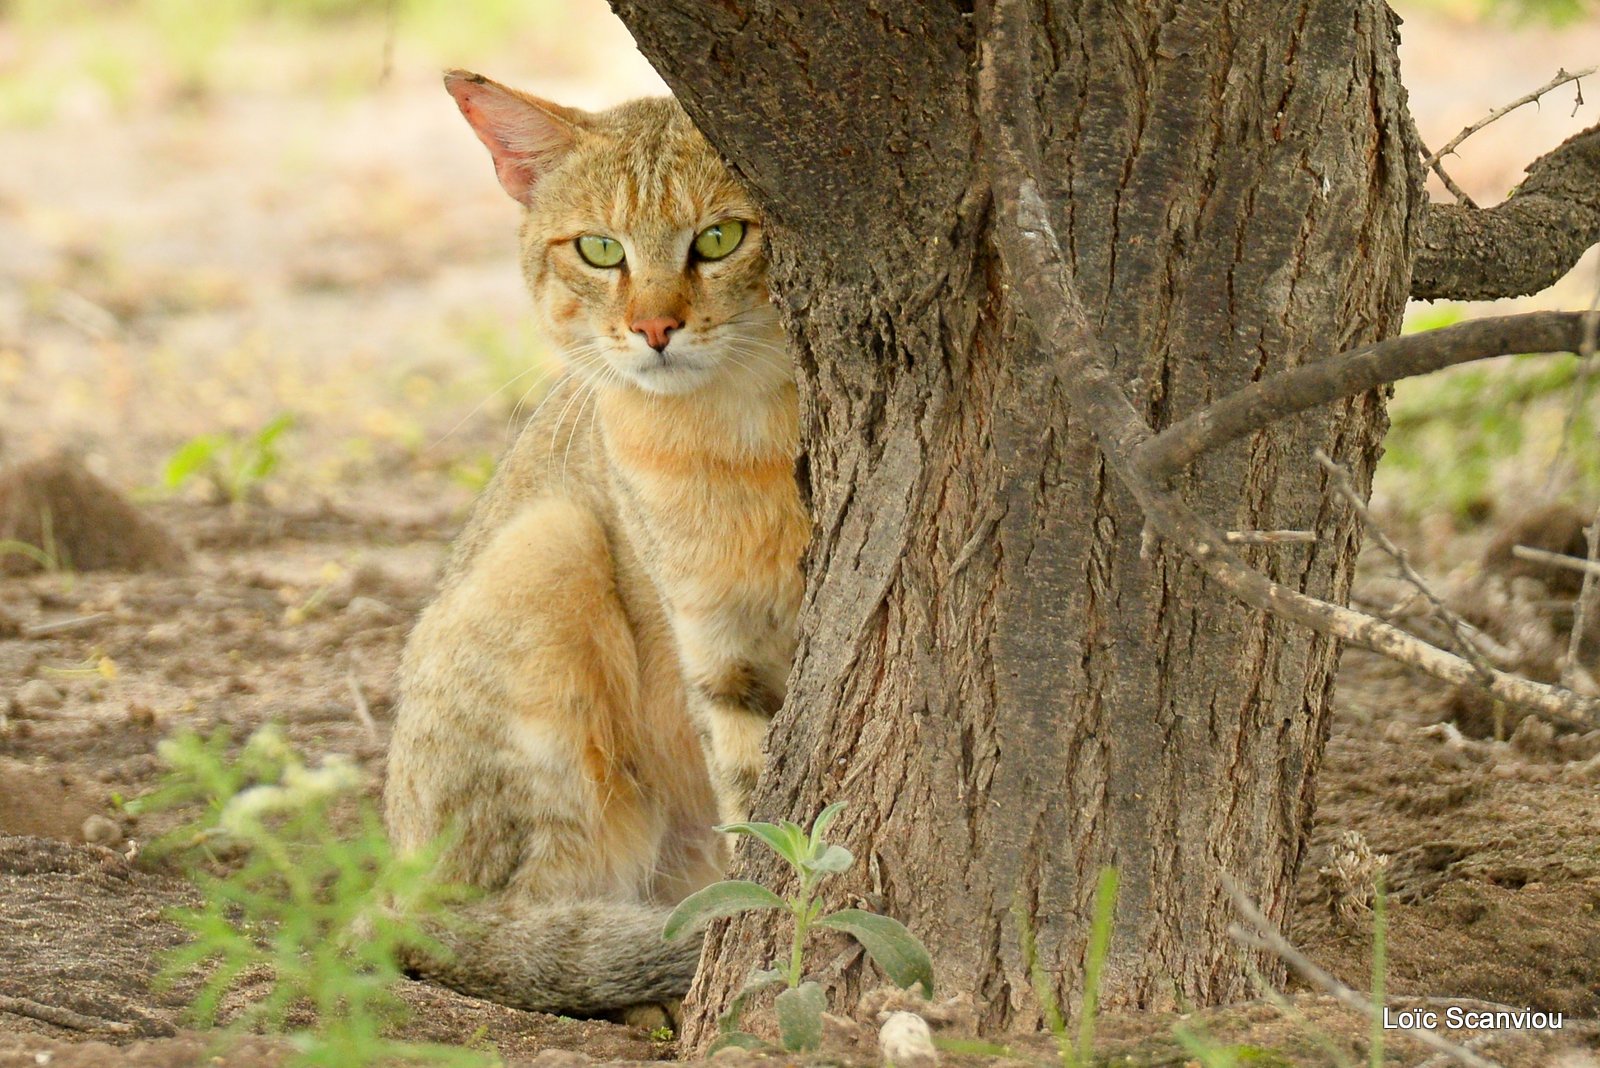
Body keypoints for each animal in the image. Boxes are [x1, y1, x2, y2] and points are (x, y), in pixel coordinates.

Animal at [382, 70, 806, 1023]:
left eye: (720, 237)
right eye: (601, 250)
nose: (654, 329)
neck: (742, 431)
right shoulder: (721, 651)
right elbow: (756, 812)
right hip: (551, 545)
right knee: (499, 928)